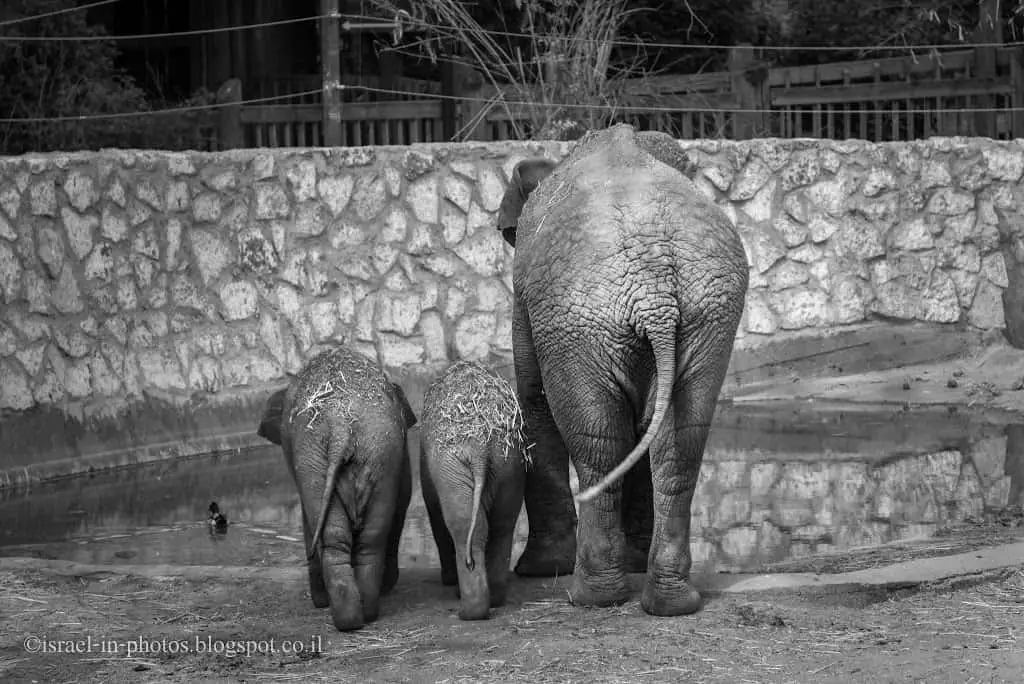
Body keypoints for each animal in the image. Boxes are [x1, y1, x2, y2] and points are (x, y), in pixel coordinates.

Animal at [258, 348, 417, 630]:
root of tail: (342, 426)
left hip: (322, 460)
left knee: (342, 538)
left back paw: (347, 612)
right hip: (376, 453)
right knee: (364, 538)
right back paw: (360, 614)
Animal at [417, 360, 528, 622]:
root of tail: (480, 448)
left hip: (452, 467)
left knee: (464, 525)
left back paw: (468, 611)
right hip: (509, 463)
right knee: (502, 524)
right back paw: (494, 599)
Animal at [497, 124, 749, 618]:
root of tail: (655, 286)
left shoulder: (525, 299)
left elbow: (534, 396)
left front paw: (539, 571)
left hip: (578, 317)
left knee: (599, 441)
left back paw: (591, 597)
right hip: (706, 312)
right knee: (678, 439)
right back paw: (671, 602)